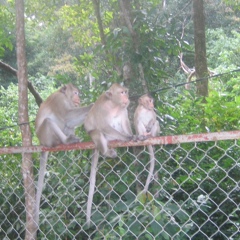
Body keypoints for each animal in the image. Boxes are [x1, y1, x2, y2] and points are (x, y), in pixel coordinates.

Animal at [34, 84, 93, 227]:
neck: (65, 97)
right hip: (47, 136)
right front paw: (93, 105)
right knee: (49, 121)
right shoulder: (59, 100)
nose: (79, 98)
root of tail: (41, 142)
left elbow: (69, 121)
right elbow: (67, 116)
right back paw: (66, 141)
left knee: (68, 126)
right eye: (76, 92)